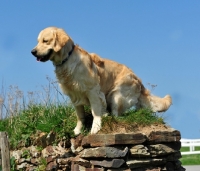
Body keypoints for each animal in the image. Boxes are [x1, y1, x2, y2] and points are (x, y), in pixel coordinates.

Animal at [31, 26, 172, 134]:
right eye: (38, 41)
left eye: (45, 41)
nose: (33, 51)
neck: (68, 60)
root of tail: (138, 80)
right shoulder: (74, 96)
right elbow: (80, 116)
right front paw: (77, 131)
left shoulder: (93, 91)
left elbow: (95, 113)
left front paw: (95, 128)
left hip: (116, 95)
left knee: (116, 114)